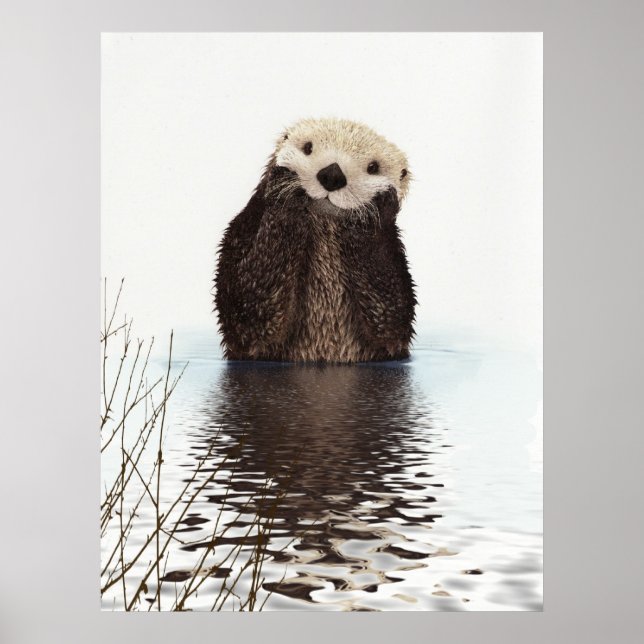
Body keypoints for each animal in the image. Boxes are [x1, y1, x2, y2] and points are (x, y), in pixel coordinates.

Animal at [214, 117, 416, 363]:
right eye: (308, 147)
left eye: (373, 167)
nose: (332, 175)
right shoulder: (242, 231)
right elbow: (247, 308)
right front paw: (285, 190)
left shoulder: (394, 258)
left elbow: (391, 318)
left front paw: (373, 210)